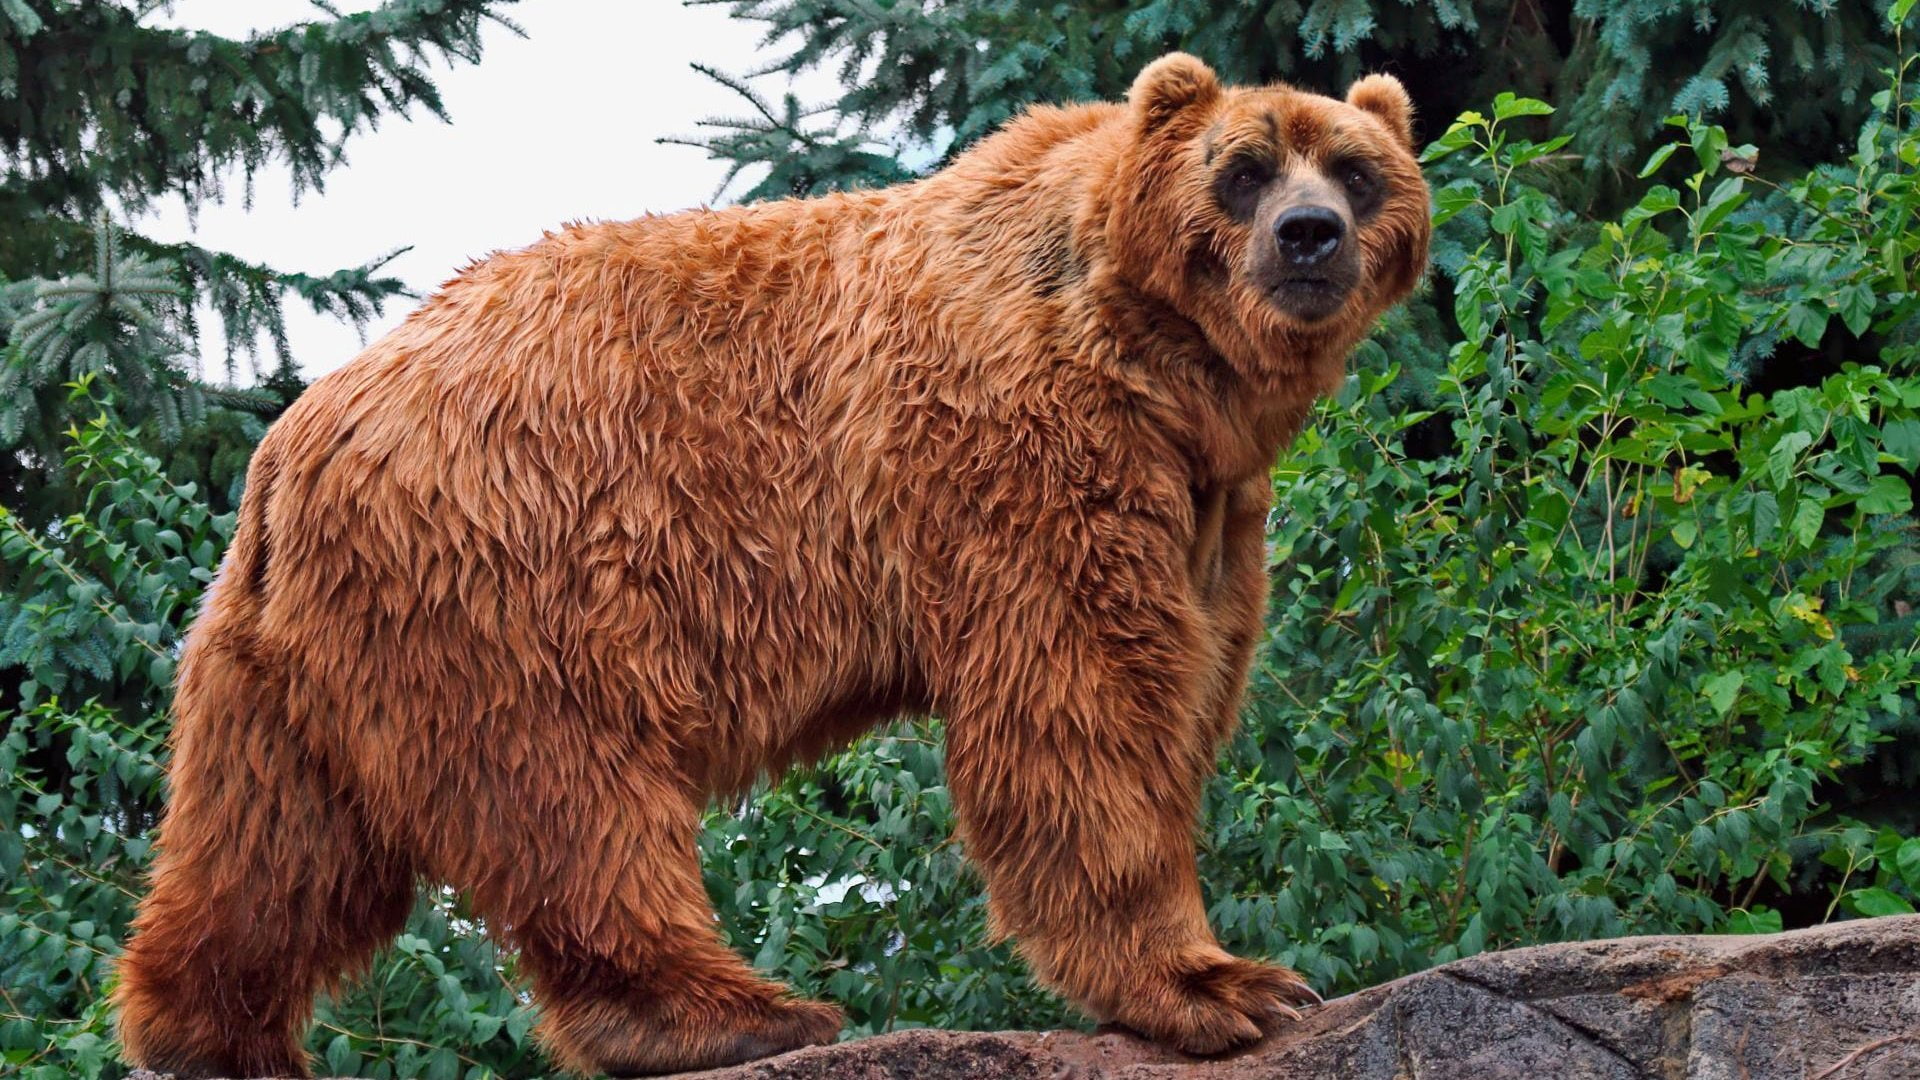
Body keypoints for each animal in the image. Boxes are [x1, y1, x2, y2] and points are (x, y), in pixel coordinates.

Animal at [114, 52, 1430, 1078]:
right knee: (571, 794)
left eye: (1357, 168)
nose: (1309, 235)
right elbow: (1082, 702)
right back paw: (734, 1012)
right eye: (1242, 168)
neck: (1161, 364)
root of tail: (294, 443)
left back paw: (209, 1034)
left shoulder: (1208, 499)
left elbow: (1191, 672)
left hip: (294, 657)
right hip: (512, 563)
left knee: (278, 843)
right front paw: (1226, 984)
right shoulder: (1025, 448)